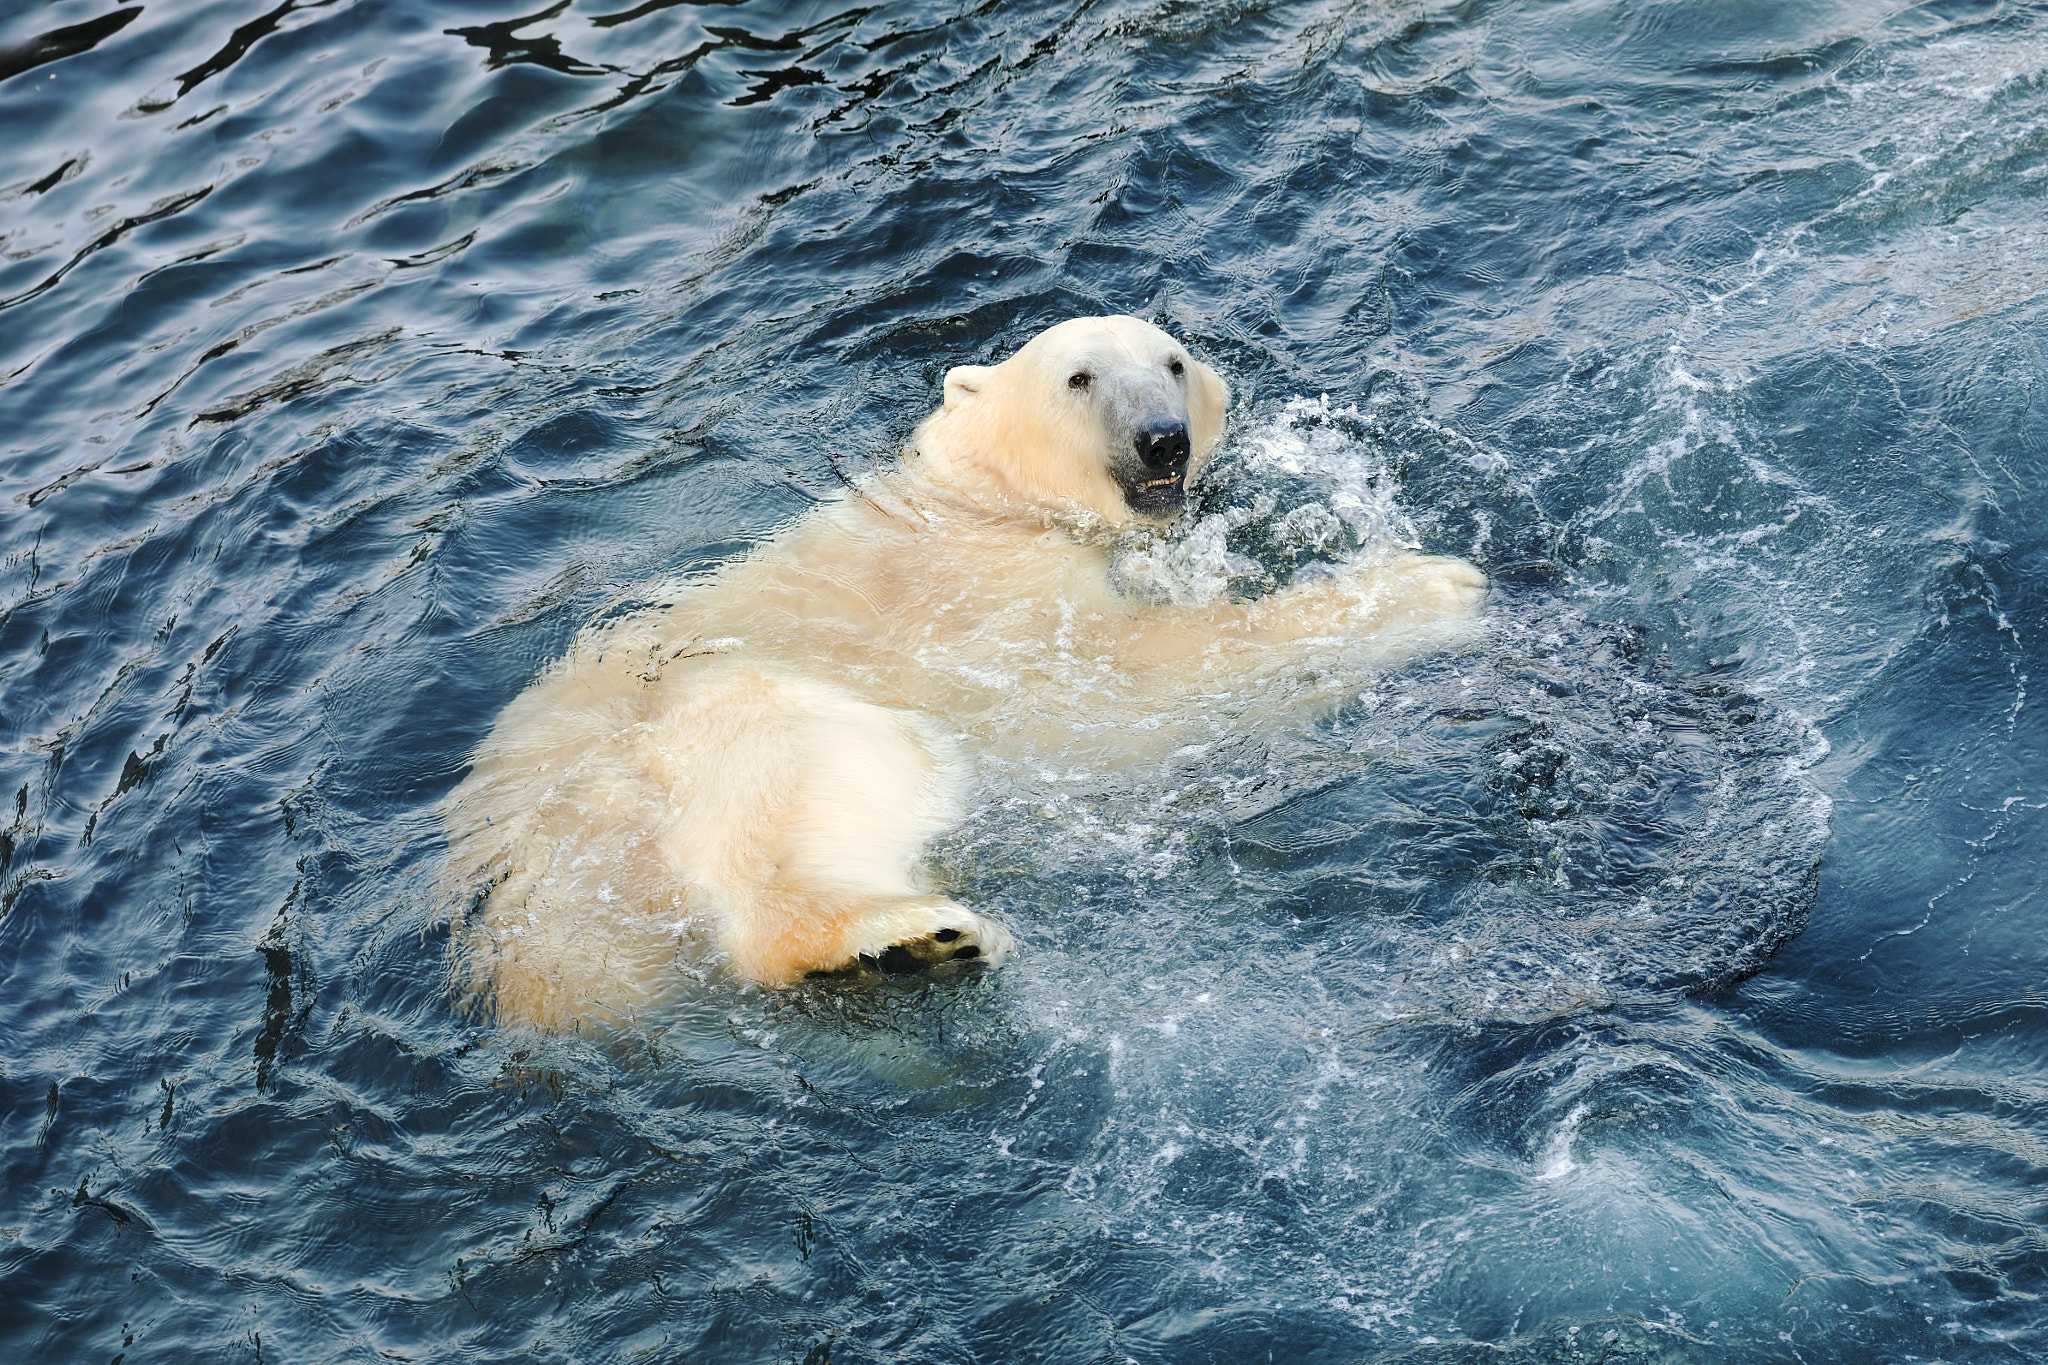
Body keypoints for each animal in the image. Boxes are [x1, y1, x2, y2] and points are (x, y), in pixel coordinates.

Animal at [443, 316, 1487, 1028]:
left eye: (1173, 364)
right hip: (698, 734)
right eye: (1079, 376)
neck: (985, 501)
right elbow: (1119, 685)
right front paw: (1427, 587)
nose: (1163, 437)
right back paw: (901, 938)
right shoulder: (980, 606)